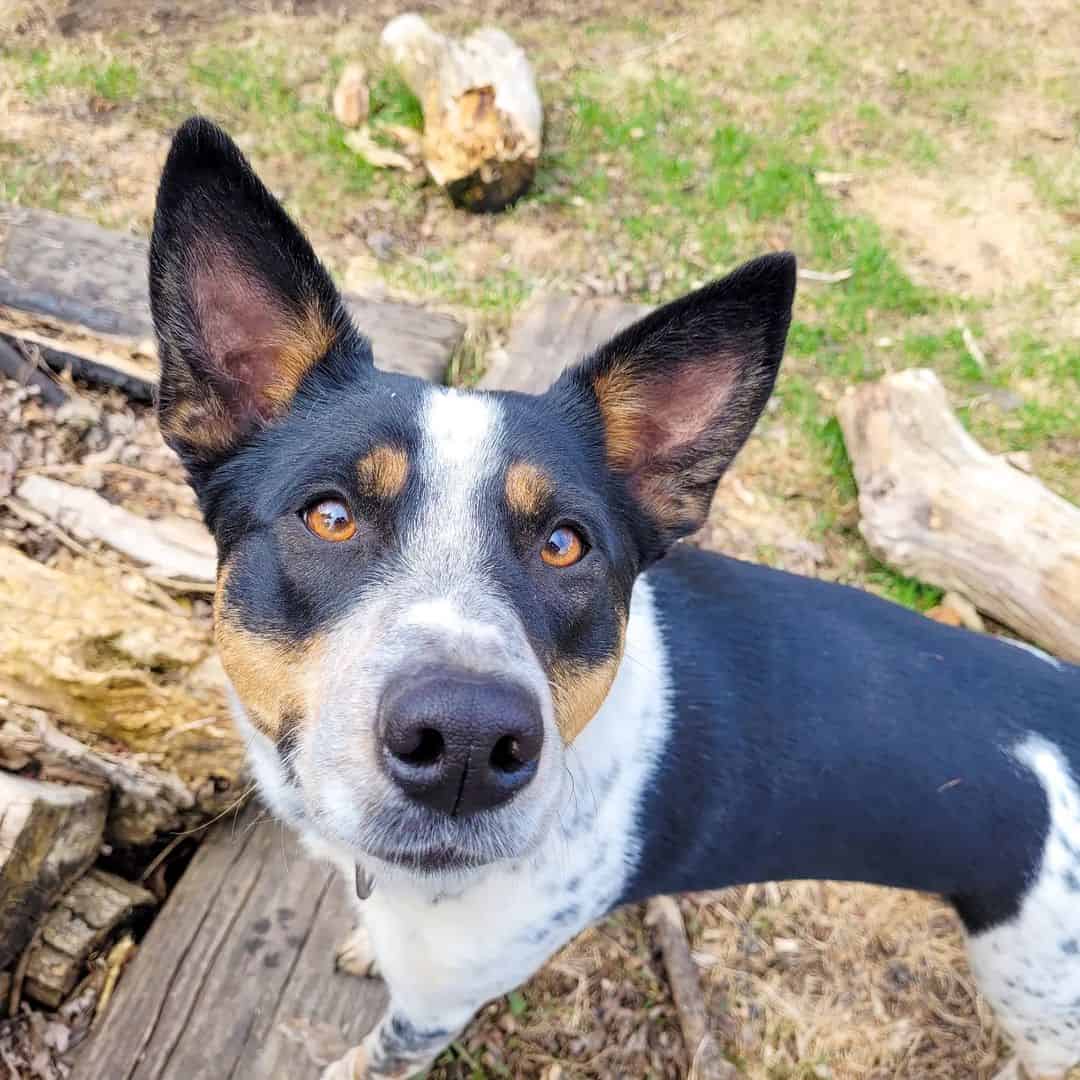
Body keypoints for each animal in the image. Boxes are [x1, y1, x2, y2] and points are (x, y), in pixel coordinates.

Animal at [150, 113, 1080, 1075]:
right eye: (329, 516)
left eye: (566, 544)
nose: (467, 745)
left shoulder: (441, 1002)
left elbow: (380, 1052)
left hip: (1037, 989)